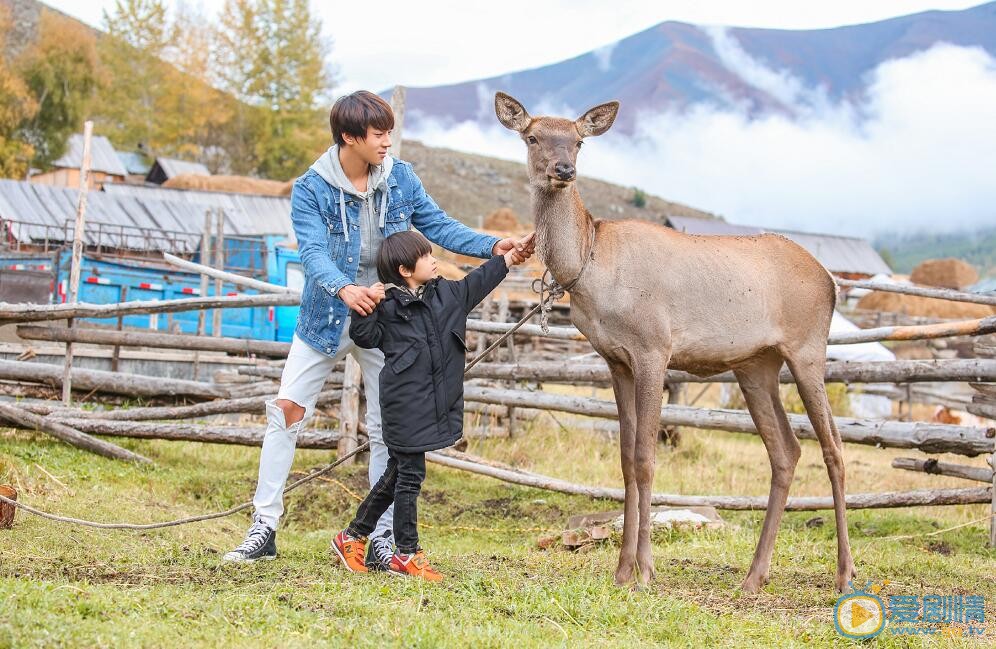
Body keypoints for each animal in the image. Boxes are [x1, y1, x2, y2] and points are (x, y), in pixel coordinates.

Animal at [498, 91, 856, 592]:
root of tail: (831, 281)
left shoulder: (654, 349)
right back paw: (754, 575)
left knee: (834, 448)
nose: (564, 170)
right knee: (786, 450)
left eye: (579, 141)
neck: (589, 269)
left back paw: (844, 573)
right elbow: (625, 459)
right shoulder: (616, 361)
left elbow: (646, 458)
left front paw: (645, 570)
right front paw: (621, 570)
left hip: (807, 349)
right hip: (755, 365)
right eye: (532, 137)